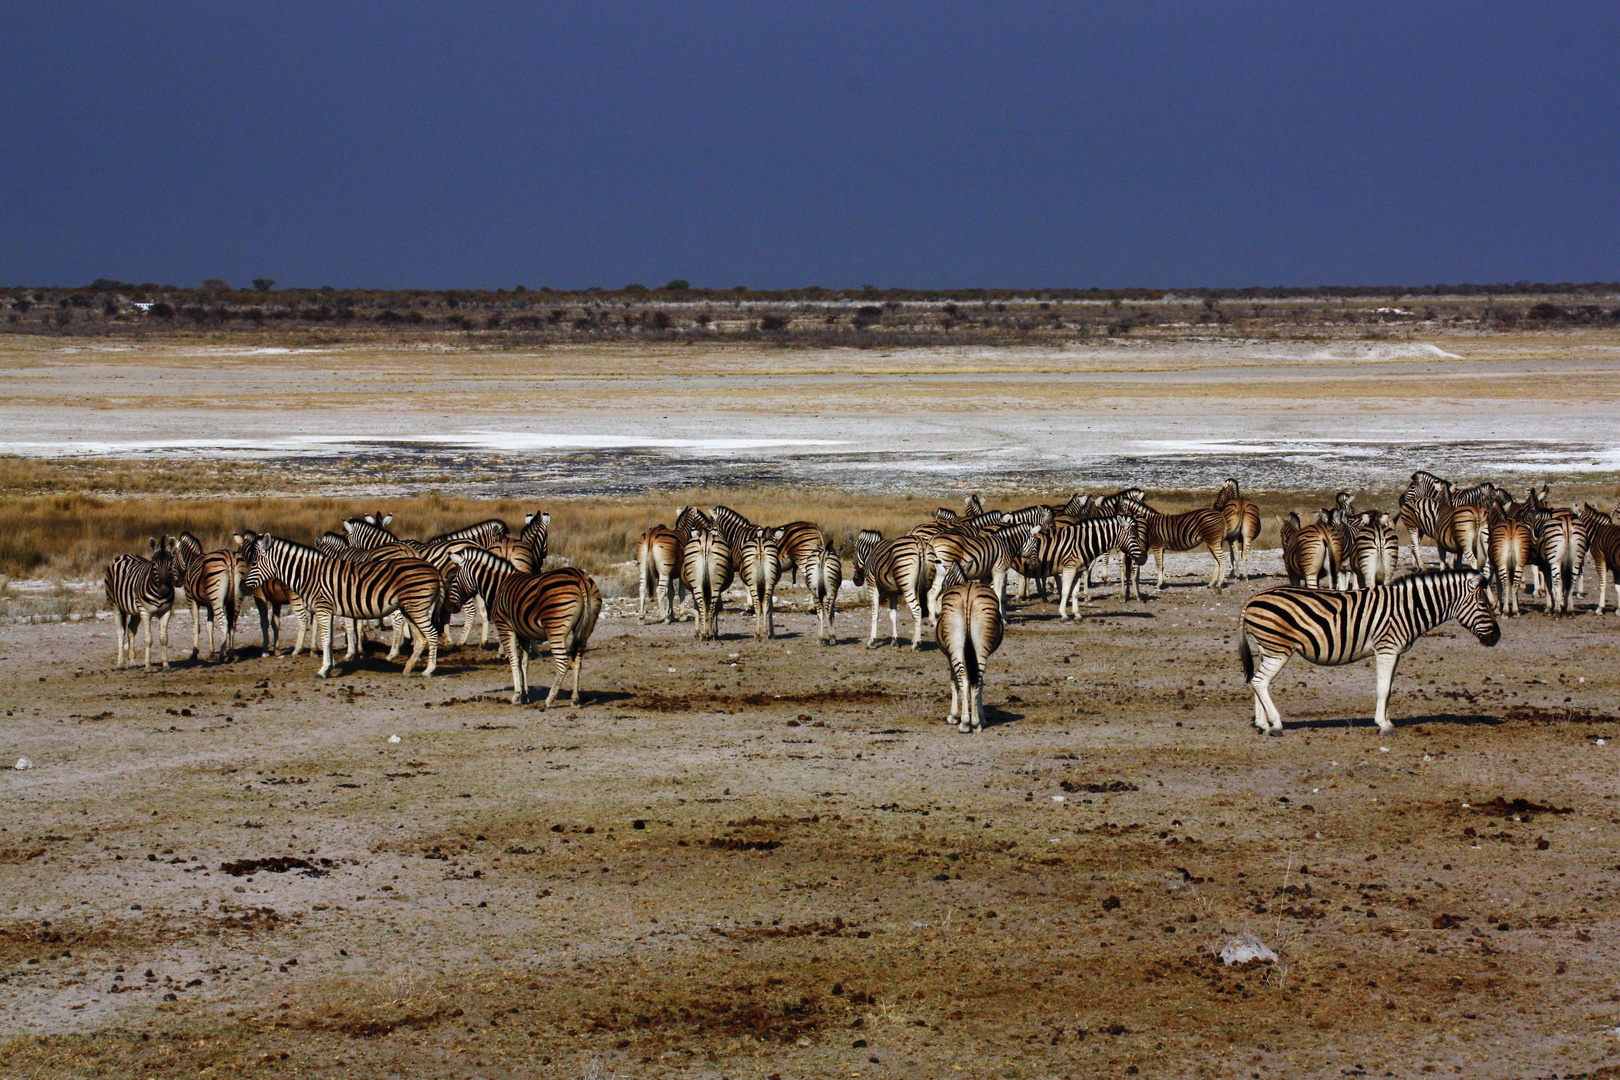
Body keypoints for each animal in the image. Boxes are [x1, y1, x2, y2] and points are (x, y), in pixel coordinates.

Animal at [102, 537, 180, 670]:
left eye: (171, 563)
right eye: (154, 564)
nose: (164, 589)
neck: (159, 595)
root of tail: (124, 554)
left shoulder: (166, 611)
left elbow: (164, 638)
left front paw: (166, 665)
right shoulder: (145, 611)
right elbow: (148, 639)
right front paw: (148, 667)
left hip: (135, 611)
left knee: (131, 629)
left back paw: (133, 662)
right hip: (115, 604)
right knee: (120, 632)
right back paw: (120, 664)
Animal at [239, 531, 443, 676]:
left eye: (254, 562)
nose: (241, 586)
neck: (309, 574)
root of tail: (433, 569)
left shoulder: (323, 608)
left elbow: (327, 638)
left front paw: (323, 670)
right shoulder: (328, 610)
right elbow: (328, 639)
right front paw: (331, 666)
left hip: (416, 608)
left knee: (431, 634)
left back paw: (428, 670)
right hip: (410, 608)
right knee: (421, 637)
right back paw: (408, 669)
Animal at [450, 550, 602, 709]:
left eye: (454, 577)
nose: (451, 607)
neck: (498, 586)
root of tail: (580, 577)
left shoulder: (505, 627)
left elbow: (513, 660)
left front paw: (516, 696)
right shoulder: (523, 633)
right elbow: (523, 663)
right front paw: (525, 695)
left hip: (555, 629)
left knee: (563, 662)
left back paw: (549, 699)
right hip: (585, 629)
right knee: (577, 661)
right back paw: (575, 700)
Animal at [933, 566, 1004, 735]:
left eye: (943, 584)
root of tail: (968, 594)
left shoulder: (948, 655)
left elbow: (953, 681)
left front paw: (953, 716)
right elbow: (981, 683)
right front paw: (982, 716)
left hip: (955, 646)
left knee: (963, 679)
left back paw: (965, 723)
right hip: (981, 645)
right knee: (977, 679)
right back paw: (976, 723)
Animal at [1237, 566, 1503, 735]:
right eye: (1483, 604)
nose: (1497, 638)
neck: (1409, 608)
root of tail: (1251, 599)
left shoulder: (1395, 652)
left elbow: (1390, 689)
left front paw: (1386, 720)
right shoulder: (1386, 648)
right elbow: (1383, 688)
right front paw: (1383, 726)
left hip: (1267, 648)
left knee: (1259, 682)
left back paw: (1263, 724)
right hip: (1278, 649)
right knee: (1260, 681)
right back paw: (1276, 724)